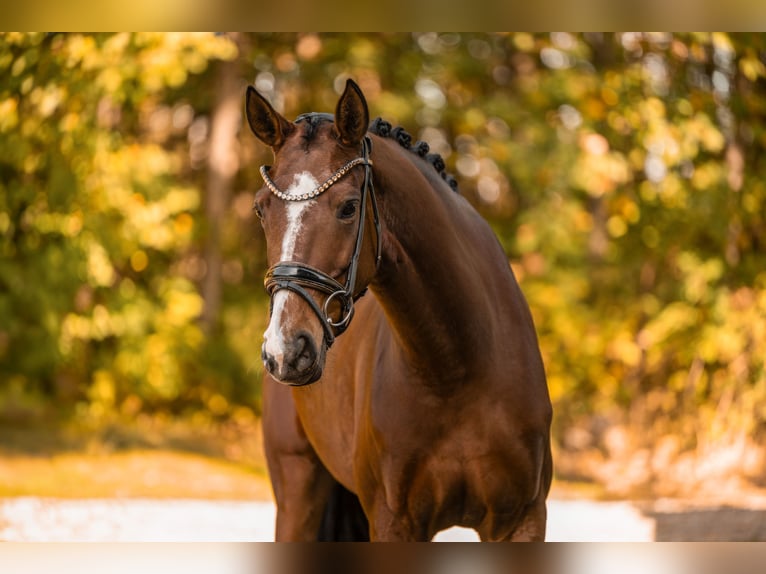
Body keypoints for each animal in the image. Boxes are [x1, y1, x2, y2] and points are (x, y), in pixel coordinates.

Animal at [244, 79, 553, 541]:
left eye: (349, 206)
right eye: (262, 208)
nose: (285, 351)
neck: (458, 372)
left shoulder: (523, 521)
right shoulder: (393, 523)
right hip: (297, 489)